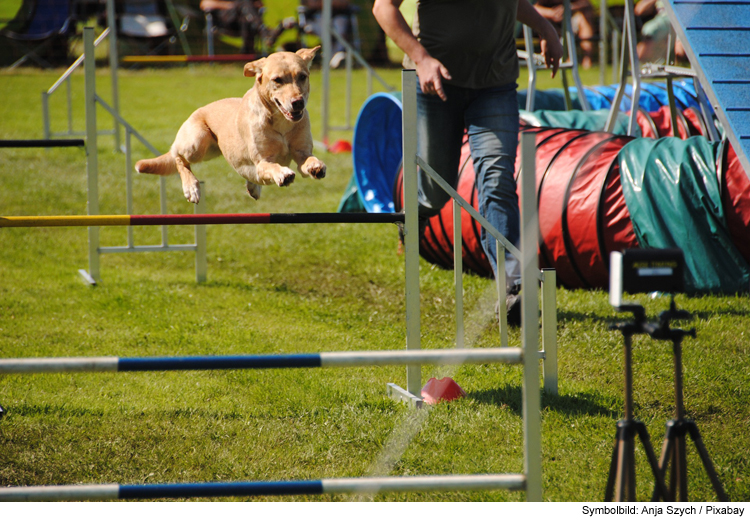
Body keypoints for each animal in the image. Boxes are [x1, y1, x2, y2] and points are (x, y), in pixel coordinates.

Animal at [134, 47, 326, 202]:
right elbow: (272, 167)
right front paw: (283, 173)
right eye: (277, 80)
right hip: (196, 144)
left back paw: (253, 187)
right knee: (179, 158)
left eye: (302, 77)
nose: (298, 103)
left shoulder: (301, 152)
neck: (281, 123)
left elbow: (308, 160)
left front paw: (316, 167)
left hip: (211, 150)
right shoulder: (262, 161)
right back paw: (191, 187)